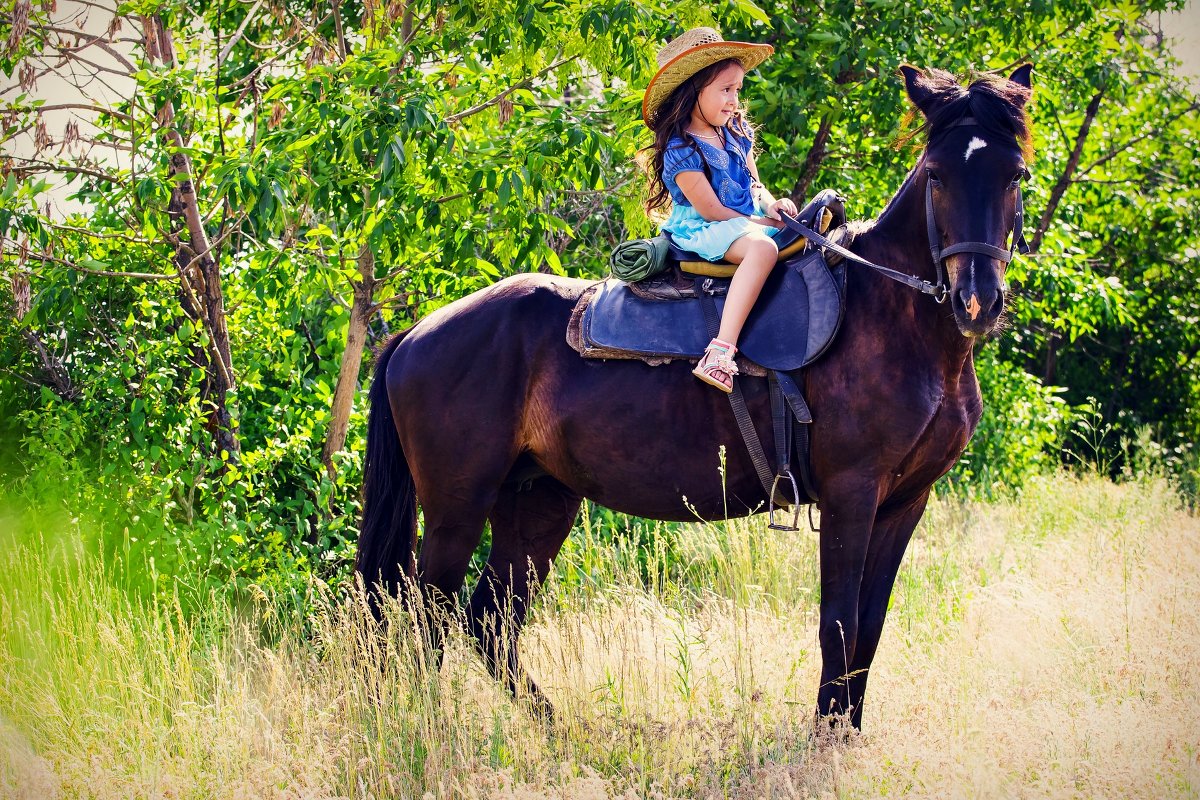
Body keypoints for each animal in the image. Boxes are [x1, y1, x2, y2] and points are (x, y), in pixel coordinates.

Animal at [352, 65, 1032, 729]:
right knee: (426, 614)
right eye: (937, 175)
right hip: (457, 507)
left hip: (537, 502)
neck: (892, 318)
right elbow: (837, 626)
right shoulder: (852, 493)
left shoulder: (904, 502)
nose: (977, 300)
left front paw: (847, 735)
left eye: (1016, 175)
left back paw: (563, 730)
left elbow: (868, 630)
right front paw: (823, 741)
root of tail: (415, 335)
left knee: (488, 621)